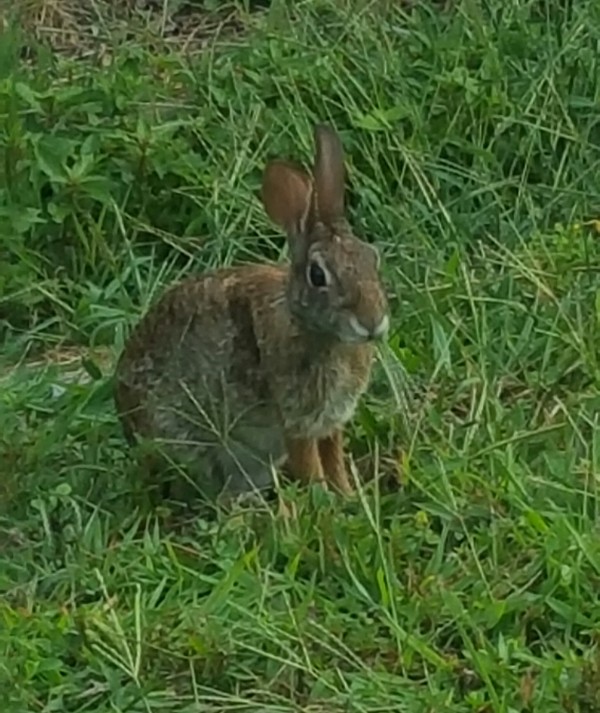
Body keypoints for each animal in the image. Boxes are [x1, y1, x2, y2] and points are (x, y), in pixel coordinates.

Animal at [114, 124, 389, 500]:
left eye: (371, 258)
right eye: (318, 275)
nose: (372, 323)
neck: (312, 329)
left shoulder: (331, 423)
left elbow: (334, 460)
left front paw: (347, 497)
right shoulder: (296, 422)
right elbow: (312, 467)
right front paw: (324, 502)